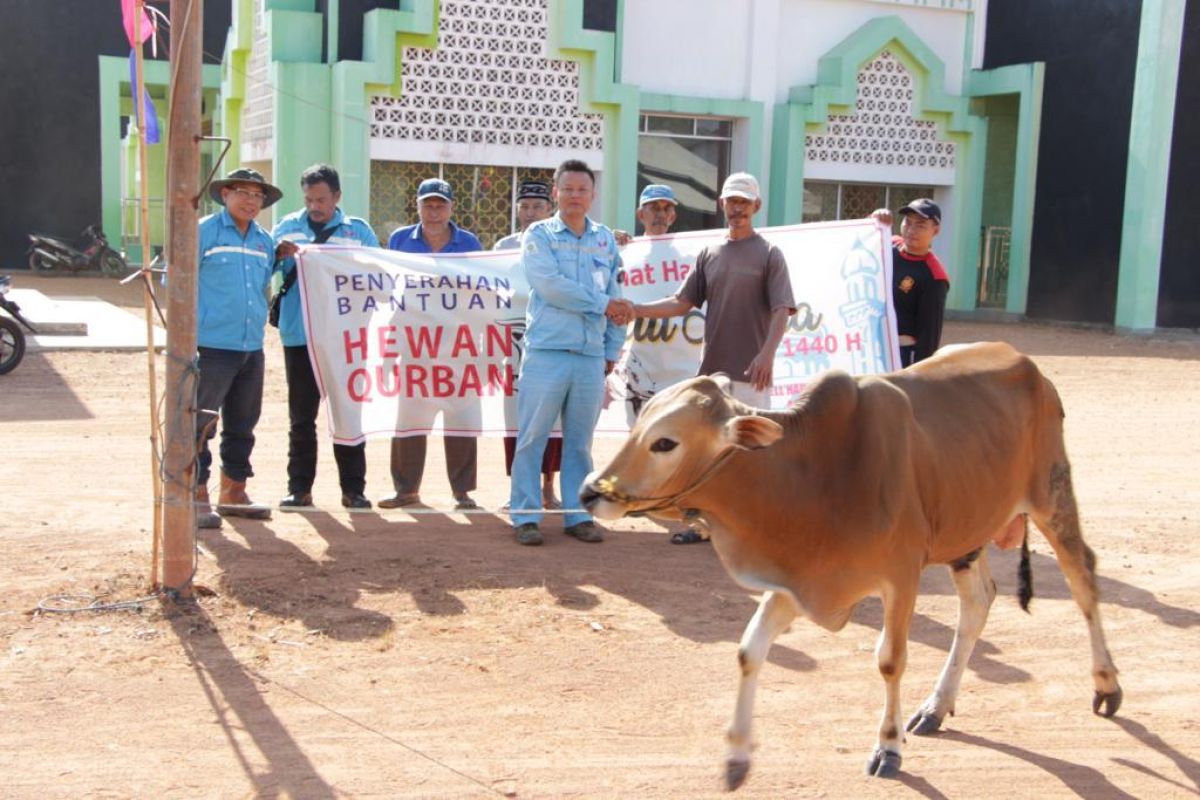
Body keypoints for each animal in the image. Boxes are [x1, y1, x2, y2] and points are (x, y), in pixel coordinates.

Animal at [583, 343, 1123, 786]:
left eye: (665, 442)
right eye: (638, 424)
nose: (591, 492)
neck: (816, 472)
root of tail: (1028, 365)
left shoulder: (900, 578)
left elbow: (889, 660)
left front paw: (888, 747)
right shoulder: (798, 581)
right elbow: (749, 650)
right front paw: (736, 757)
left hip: (1052, 498)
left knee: (1083, 581)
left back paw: (1106, 684)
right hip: (966, 532)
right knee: (978, 603)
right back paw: (936, 706)